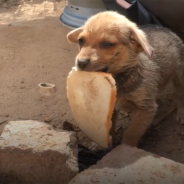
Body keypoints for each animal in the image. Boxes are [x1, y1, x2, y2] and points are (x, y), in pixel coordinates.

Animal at [67, 11, 184, 147]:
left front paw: (125, 146)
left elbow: (131, 132)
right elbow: (108, 128)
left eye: (107, 44)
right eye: (81, 41)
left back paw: (181, 113)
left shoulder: (145, 109)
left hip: (180, 77)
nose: (80, 62)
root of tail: (166, 29)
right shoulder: (110, 108)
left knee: (180, 94)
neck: (119, 79)